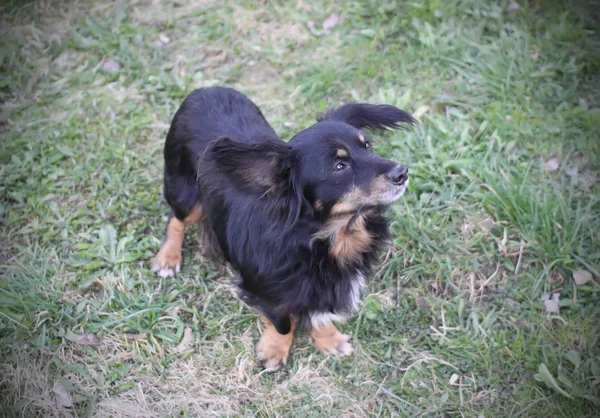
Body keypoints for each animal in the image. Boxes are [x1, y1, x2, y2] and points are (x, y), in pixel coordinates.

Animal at [152, 86, 412, 370]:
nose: (402, 172)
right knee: (176, 218)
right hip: (186, 192)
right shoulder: (263, 289)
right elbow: (282, 321)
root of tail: (206, 89)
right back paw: (168, 257)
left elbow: (318, 313)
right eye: (339, 166)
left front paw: (328, 338)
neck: (324, 237)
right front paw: (275, 349)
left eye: (368, 147)